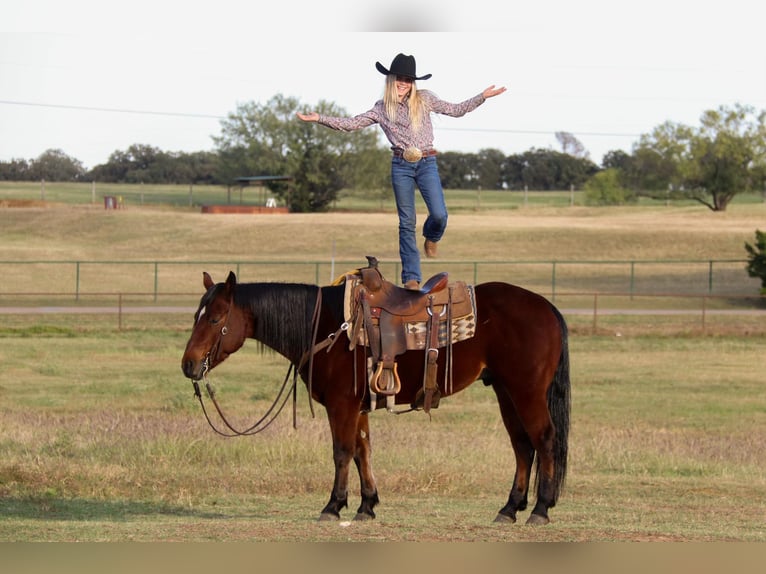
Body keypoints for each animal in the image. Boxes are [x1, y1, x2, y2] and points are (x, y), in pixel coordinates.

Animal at [183, 266, 572, 528]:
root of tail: (547, 308)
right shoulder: (358, 407)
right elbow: (362, 450)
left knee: (544, 439)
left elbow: (342, 451)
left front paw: (333, 506)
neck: (325, 327)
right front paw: (366, 505)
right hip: (506, 391)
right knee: (522, 445)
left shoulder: (341, 404)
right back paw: (510, 508)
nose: (188, 365)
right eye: (197, 315)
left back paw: (540, 509)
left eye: (215, 318)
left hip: (526, 392)